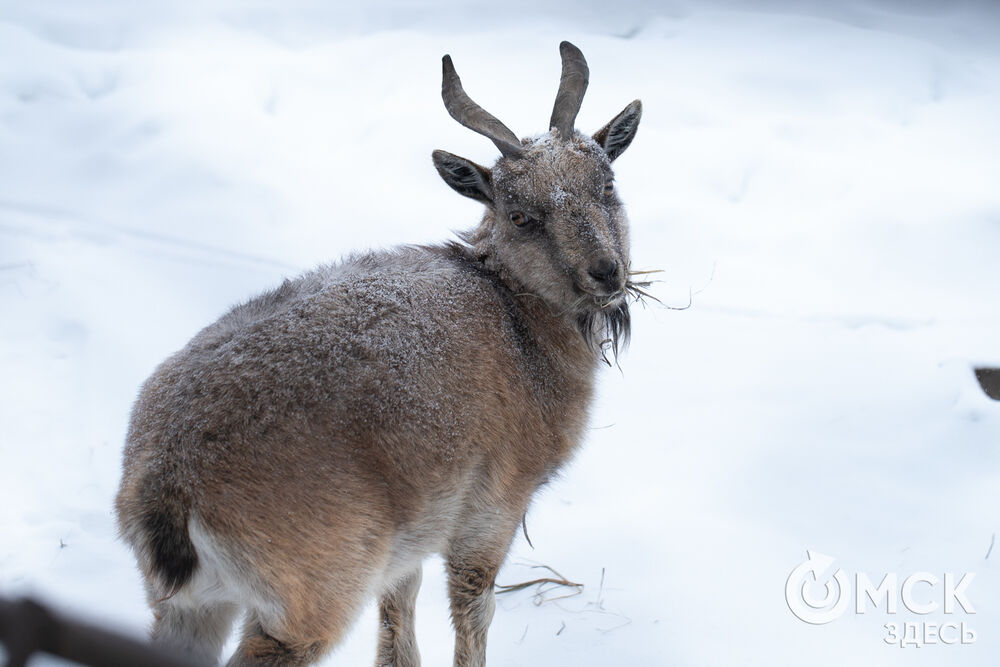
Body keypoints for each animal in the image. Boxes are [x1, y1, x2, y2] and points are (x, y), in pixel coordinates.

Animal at [117, 43, 644, 667]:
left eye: (606, 183)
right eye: (520, 214)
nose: (606, 272)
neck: (520, 325)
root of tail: (167, 485)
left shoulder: (410, 533)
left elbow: (397, 613)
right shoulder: (493, 505)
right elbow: (473, 610)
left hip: (190, 605)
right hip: (311, 589)